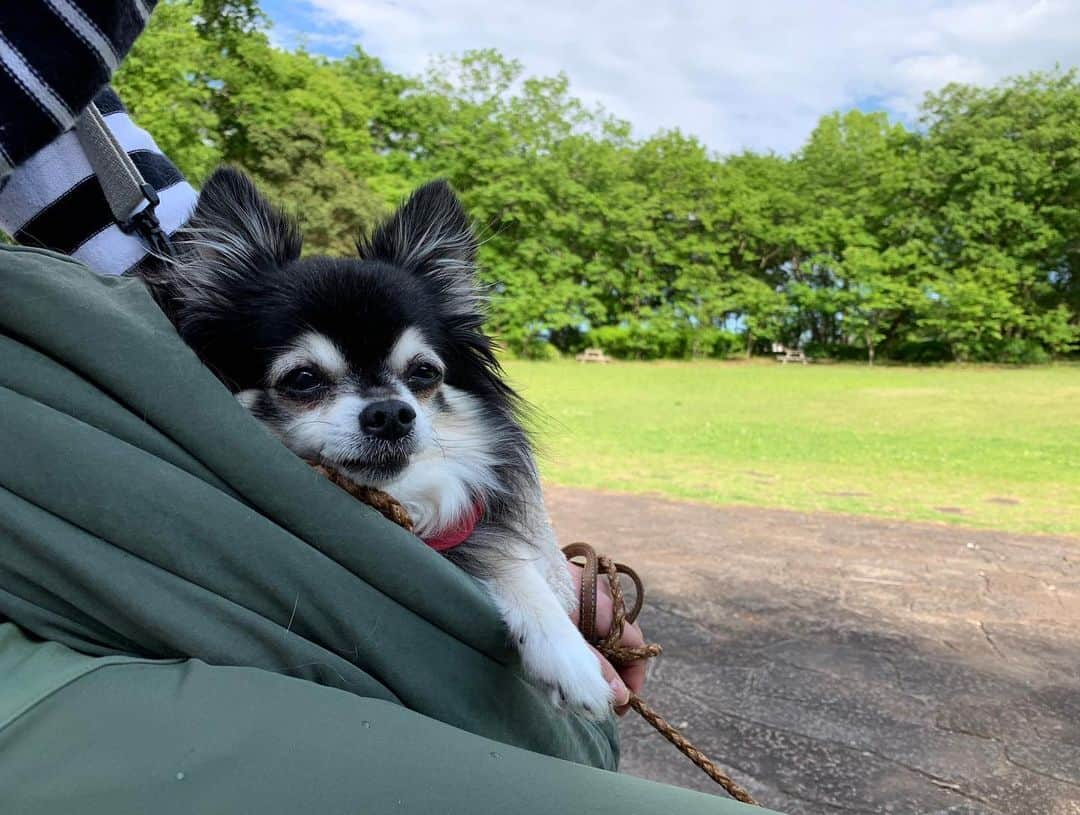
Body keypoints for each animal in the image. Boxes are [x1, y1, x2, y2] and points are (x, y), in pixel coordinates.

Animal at [140, 169, 617, 716]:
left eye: (424, 373)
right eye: (303, 379)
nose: (391, 414)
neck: (395, 505)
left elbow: (510, 563)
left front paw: (568, 655)